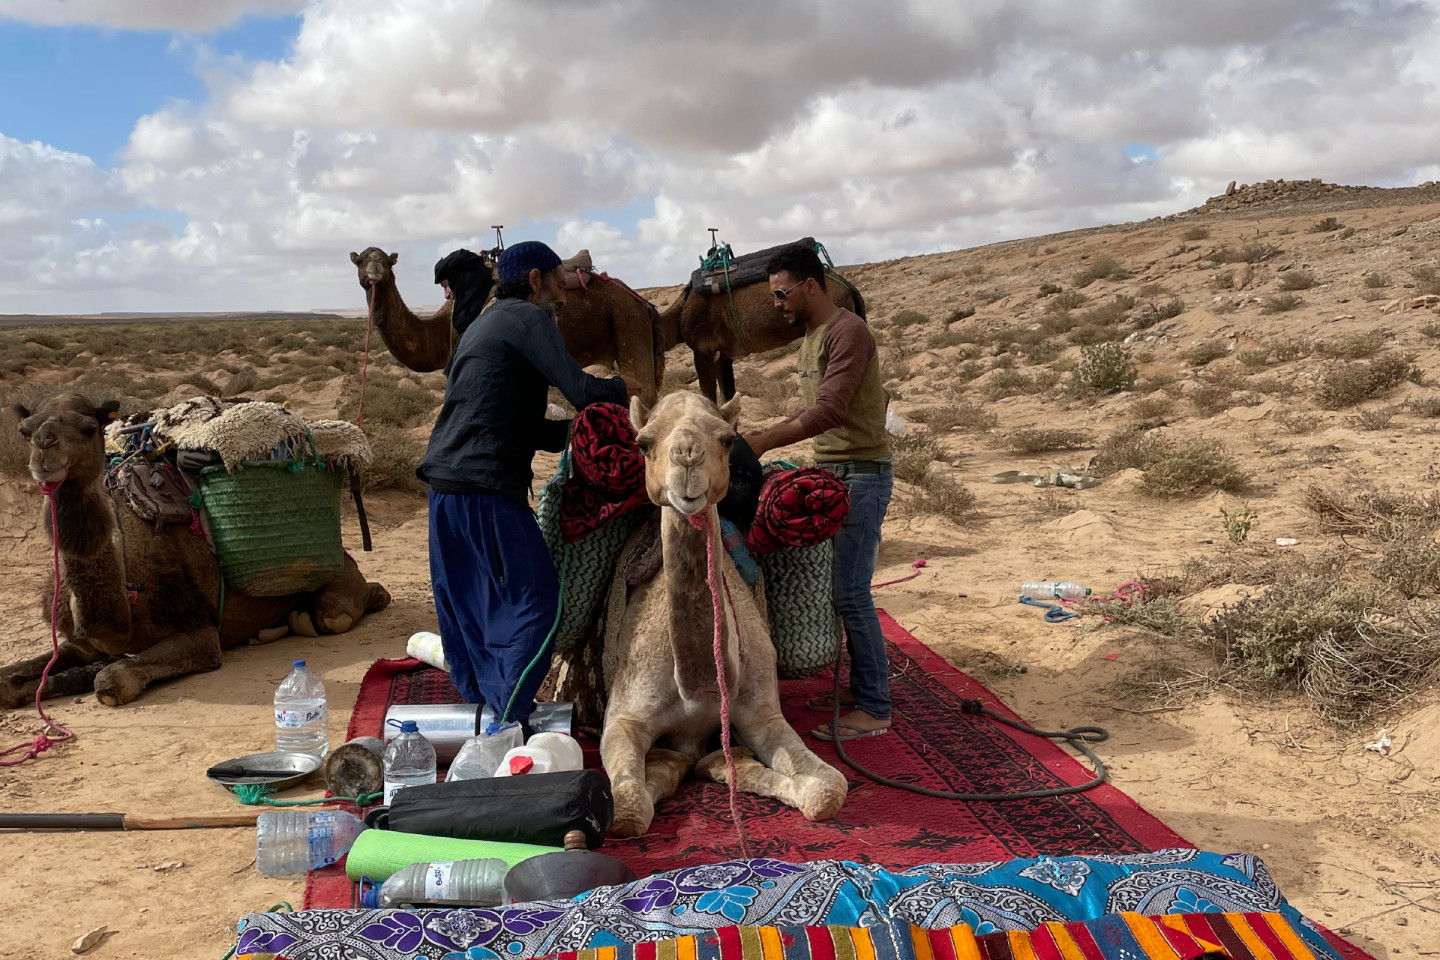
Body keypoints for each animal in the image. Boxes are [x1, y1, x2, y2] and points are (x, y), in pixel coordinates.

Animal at [0, 394, 391, 711]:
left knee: (338, 613)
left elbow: (111, 679)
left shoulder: (200, 633)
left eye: (88, 428)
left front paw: (95, 676)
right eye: (24, 430)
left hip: (339, 579)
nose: (45, 450)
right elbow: (8, 682)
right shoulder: (81, 644)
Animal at [601, 391, 846, 834]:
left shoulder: (762, 714)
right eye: (642, 443)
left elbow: (827, 790)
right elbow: (628, 811)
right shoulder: (624, 717)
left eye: (727, 439)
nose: (687, 457)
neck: (699, 689)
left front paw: (724, 764)